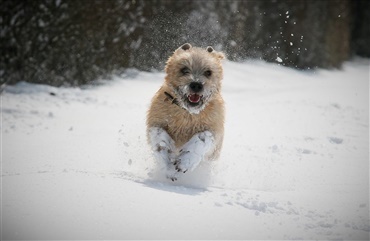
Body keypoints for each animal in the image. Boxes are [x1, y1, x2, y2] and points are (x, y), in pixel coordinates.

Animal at [146, 43, 224, 181]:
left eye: (208, 72)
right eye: (184, 70)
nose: (196, 85)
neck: (187, 114)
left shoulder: (214, 130)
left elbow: (202, 138)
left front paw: (185, 161)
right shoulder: (156, 124)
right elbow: (160, 141)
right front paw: (169, 166)